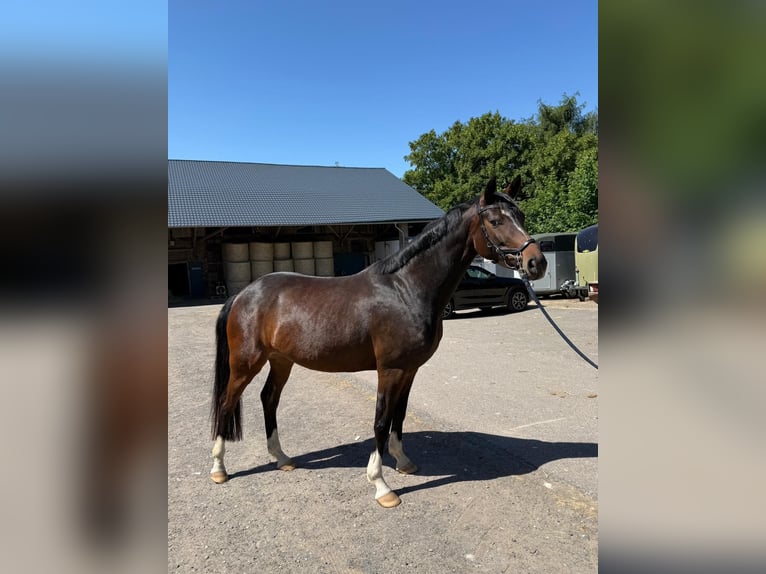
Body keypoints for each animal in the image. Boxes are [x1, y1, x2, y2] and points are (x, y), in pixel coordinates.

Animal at [209, 176, 547, 507]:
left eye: (520, 216)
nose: (536, 263)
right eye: (495, 220)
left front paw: (403, 462)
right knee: (227, 403)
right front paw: (381, 485)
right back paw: (219, 469)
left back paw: (281, 458)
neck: (406, 289)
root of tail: (244, 294)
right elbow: (381, 422)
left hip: (281, 360)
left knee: (269, 398)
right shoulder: (390, 370)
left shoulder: (409, 370)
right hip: (245, 363)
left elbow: (399, 415)